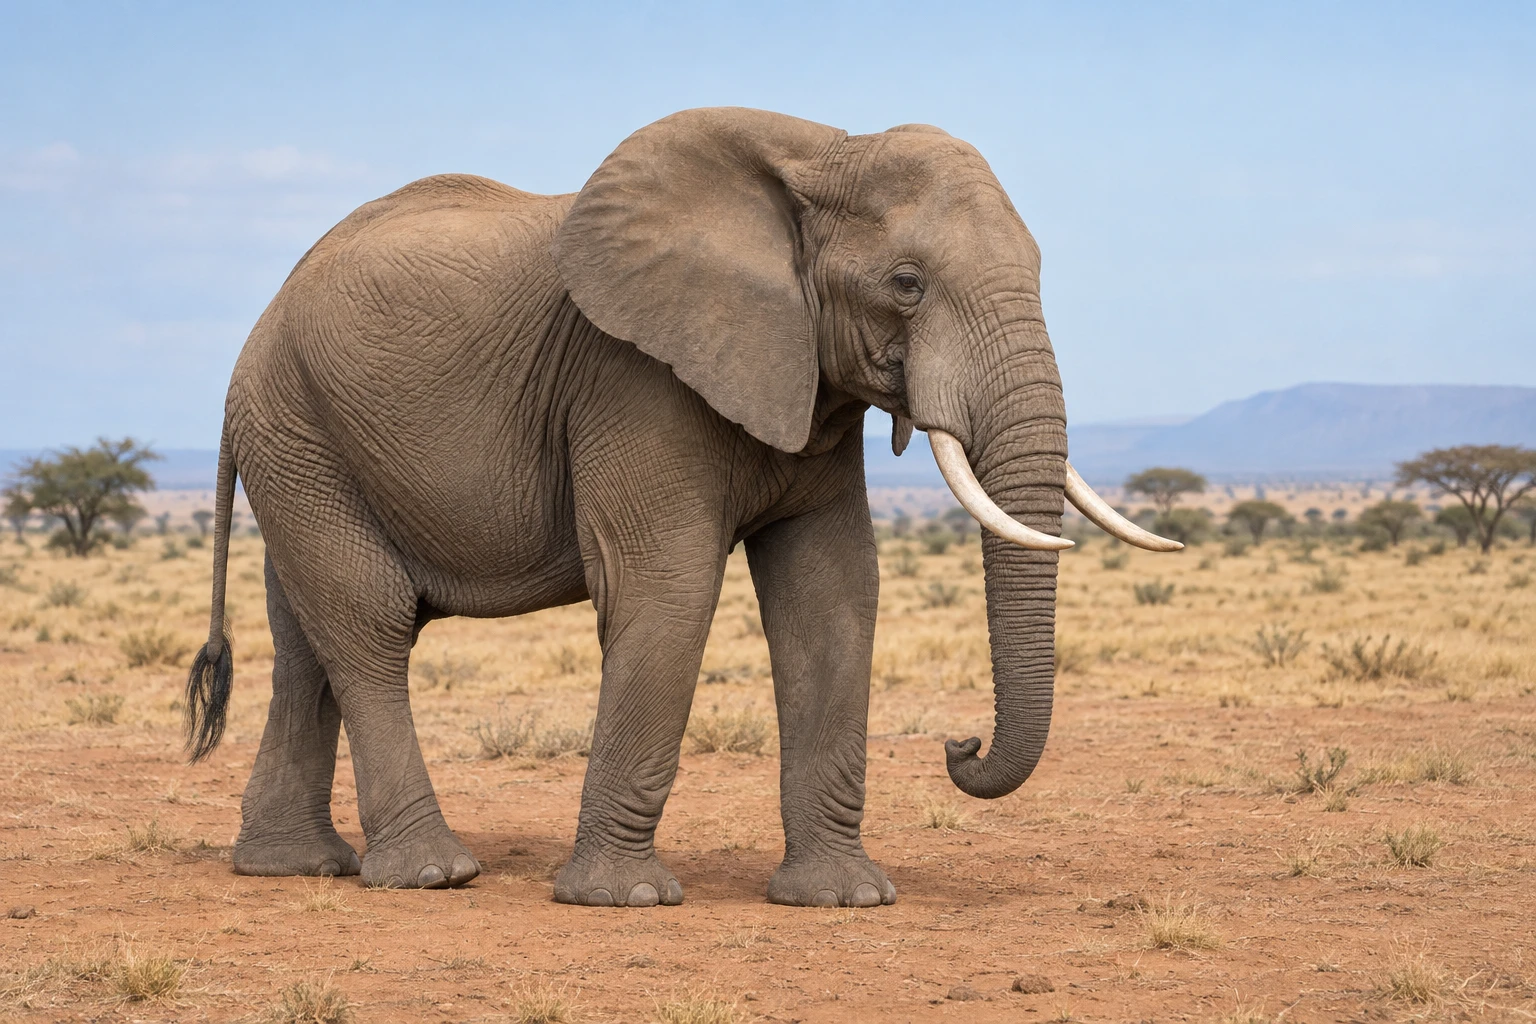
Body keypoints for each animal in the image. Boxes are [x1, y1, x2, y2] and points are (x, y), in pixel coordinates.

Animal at [184, 107, 1179, 907]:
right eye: (907, 283)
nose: (957, 744)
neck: (820, 148)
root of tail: (256, 331)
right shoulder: (631, 377)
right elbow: (669, 587)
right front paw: (620, 899)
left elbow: (831, 595)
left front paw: (844, 899)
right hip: (295, 420)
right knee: (370, 619)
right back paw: (434, 875)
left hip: (303, 437)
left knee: (305, 638)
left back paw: (293, 867)